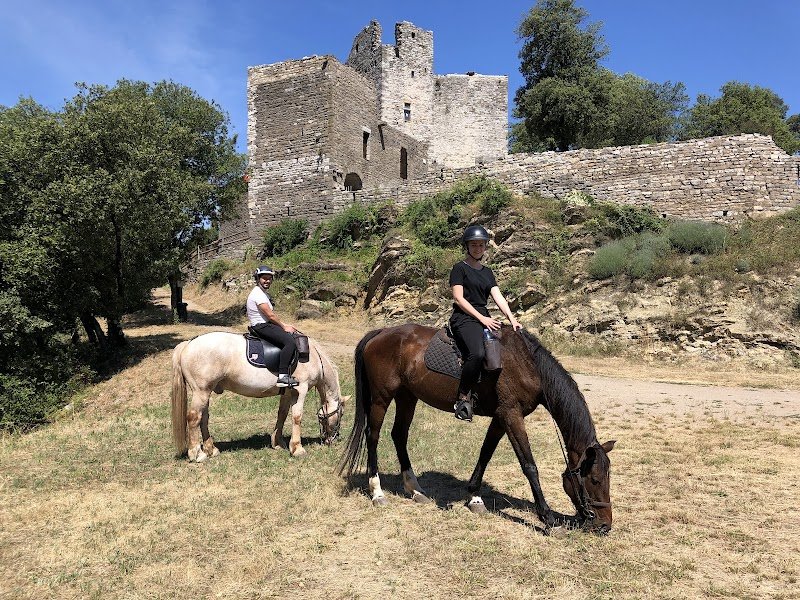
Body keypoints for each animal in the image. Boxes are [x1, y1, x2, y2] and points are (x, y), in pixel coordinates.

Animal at [171, 332, 349, 461]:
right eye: (340, 415)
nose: (333, 439)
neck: (312, 357)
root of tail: (188, 343)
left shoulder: (288, 393)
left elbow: (282, 414)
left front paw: (278, 443)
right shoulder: (300, 390)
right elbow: (297, 417)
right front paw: (297, 448)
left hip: (206, 392)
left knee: (204, 419)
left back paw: (211, 449)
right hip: (201, 392)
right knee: (194, 418)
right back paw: (197, 453)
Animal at [337, 324, 615, 533]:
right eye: (595, 479)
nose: (604, 525)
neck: (526, 364)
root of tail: (381, 333)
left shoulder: (501, 417)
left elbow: (485, 453)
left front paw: (474, 497)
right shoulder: (511, 415)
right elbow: (529, 466)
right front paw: (548, 518)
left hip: (407, 396)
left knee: (399, 435)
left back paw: (415, 489)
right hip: (381, 398)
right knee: (373, 436)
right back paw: (377, 492)